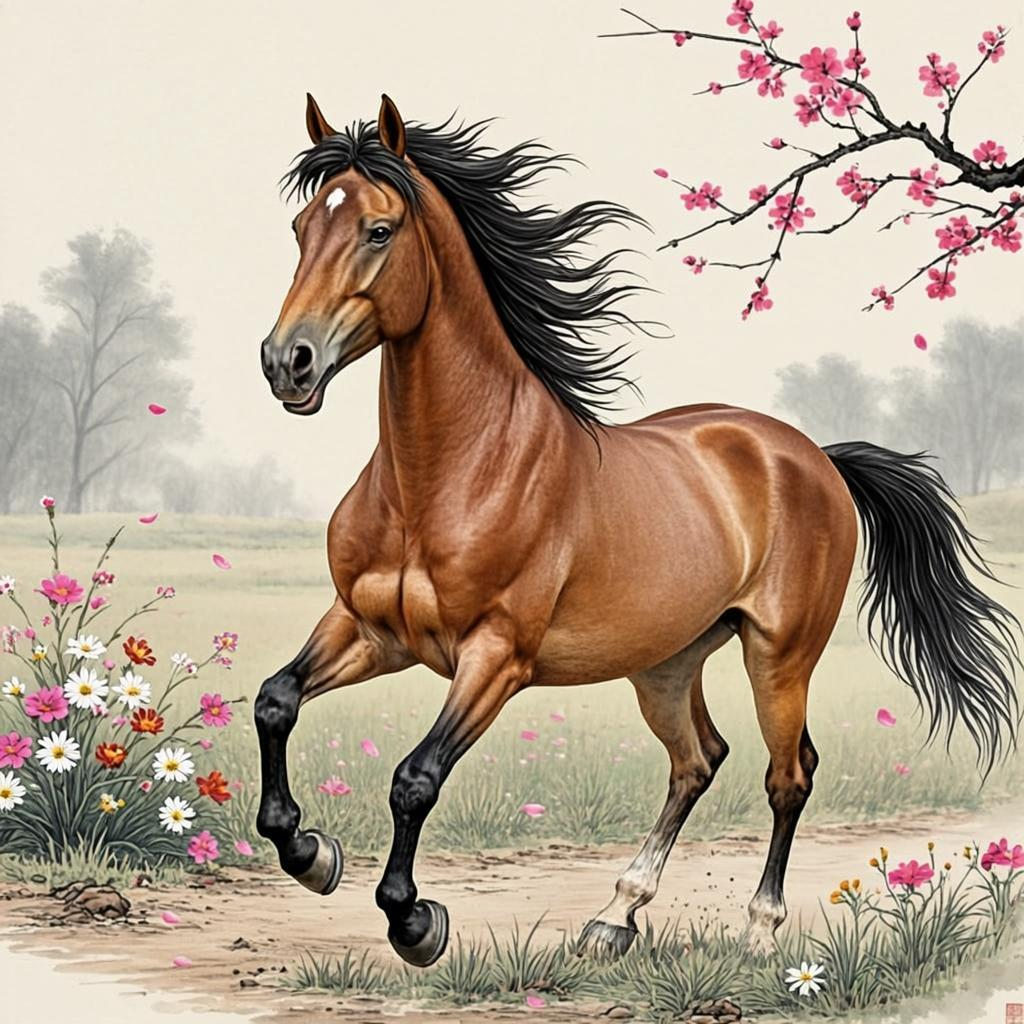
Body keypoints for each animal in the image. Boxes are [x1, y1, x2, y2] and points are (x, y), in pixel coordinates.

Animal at [255, 94, 1020, 967]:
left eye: (379, 230)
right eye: (301, 228)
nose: (287, 363)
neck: (449, 476)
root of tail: (812, 456)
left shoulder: (494, 657)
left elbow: (415, 778)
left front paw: (413, 921)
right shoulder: (370, 629)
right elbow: (275, 701)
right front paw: (308, 852)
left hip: (780, 656)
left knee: (787, 775)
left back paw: (759, 930)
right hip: (665, 662)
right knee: (698, 761)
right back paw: (615, 916)